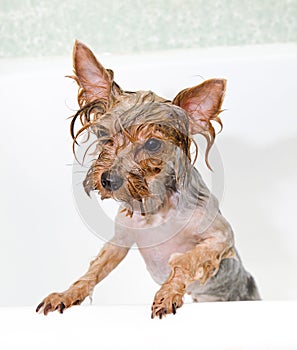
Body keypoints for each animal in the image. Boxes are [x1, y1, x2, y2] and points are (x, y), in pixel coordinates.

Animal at [36, 40, 260, 318]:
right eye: (103, 133)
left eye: (153, 144)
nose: (108, 180)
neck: (156, 208)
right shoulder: (119, 241)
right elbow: (94, 270)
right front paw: (67, 294)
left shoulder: (221, 237)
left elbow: (186, 259)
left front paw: (168, 292)